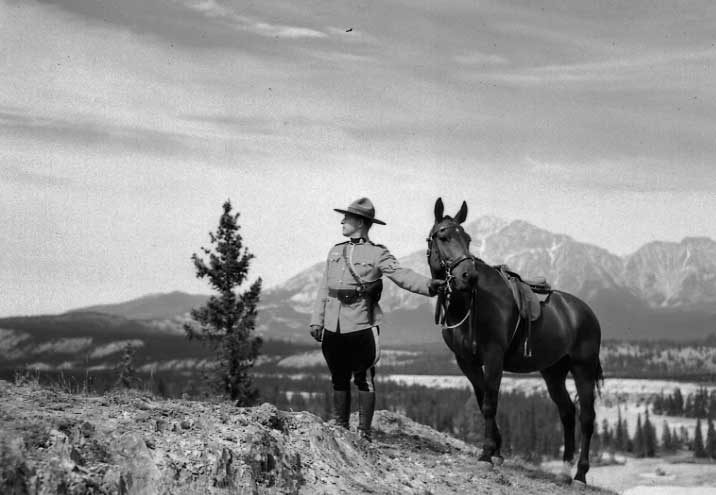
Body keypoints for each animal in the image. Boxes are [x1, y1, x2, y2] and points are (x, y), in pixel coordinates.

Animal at [427, 198, 603, 485]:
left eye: (467, 238)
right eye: (443, 236)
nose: (468, 277)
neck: (471, 304)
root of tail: (586, 312)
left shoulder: (493, 357)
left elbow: (490, 403)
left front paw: (487, 454)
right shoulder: (466, 361)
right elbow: (482, 401)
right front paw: (496, 451)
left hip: (583, 368)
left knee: (587, 417)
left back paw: (580, 474)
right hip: (553, 372)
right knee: (567, 412)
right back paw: (565, 470)